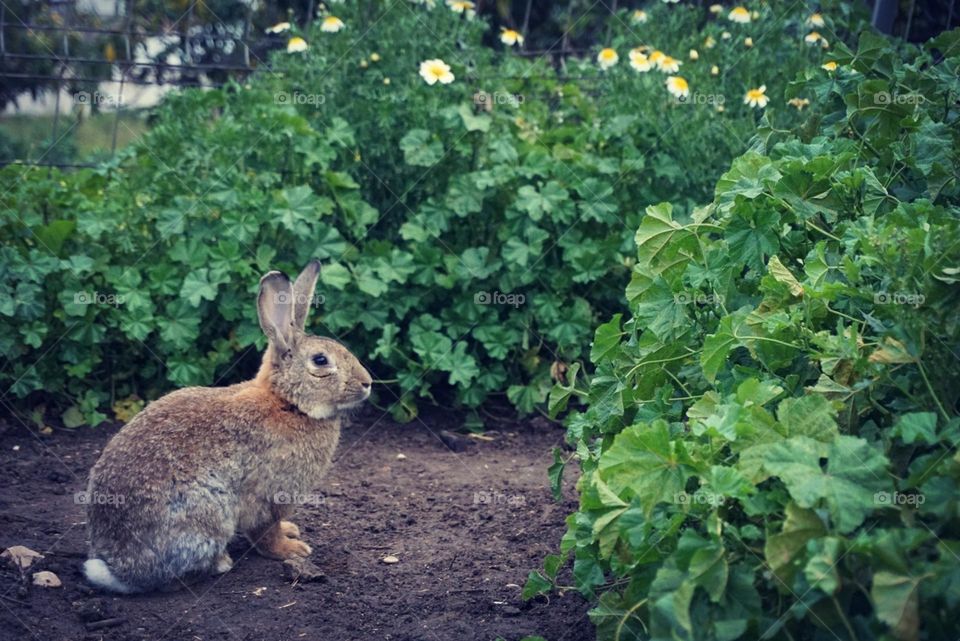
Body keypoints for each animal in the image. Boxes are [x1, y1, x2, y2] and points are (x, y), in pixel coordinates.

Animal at [82, 262, 372, 596]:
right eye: (321, 361)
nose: (368, 383)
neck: (288, 402)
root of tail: (119, 569)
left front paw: (291, 531)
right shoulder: (268, 495)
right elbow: (266, 532)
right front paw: (292, 549)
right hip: (206, 513)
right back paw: (220, 562)